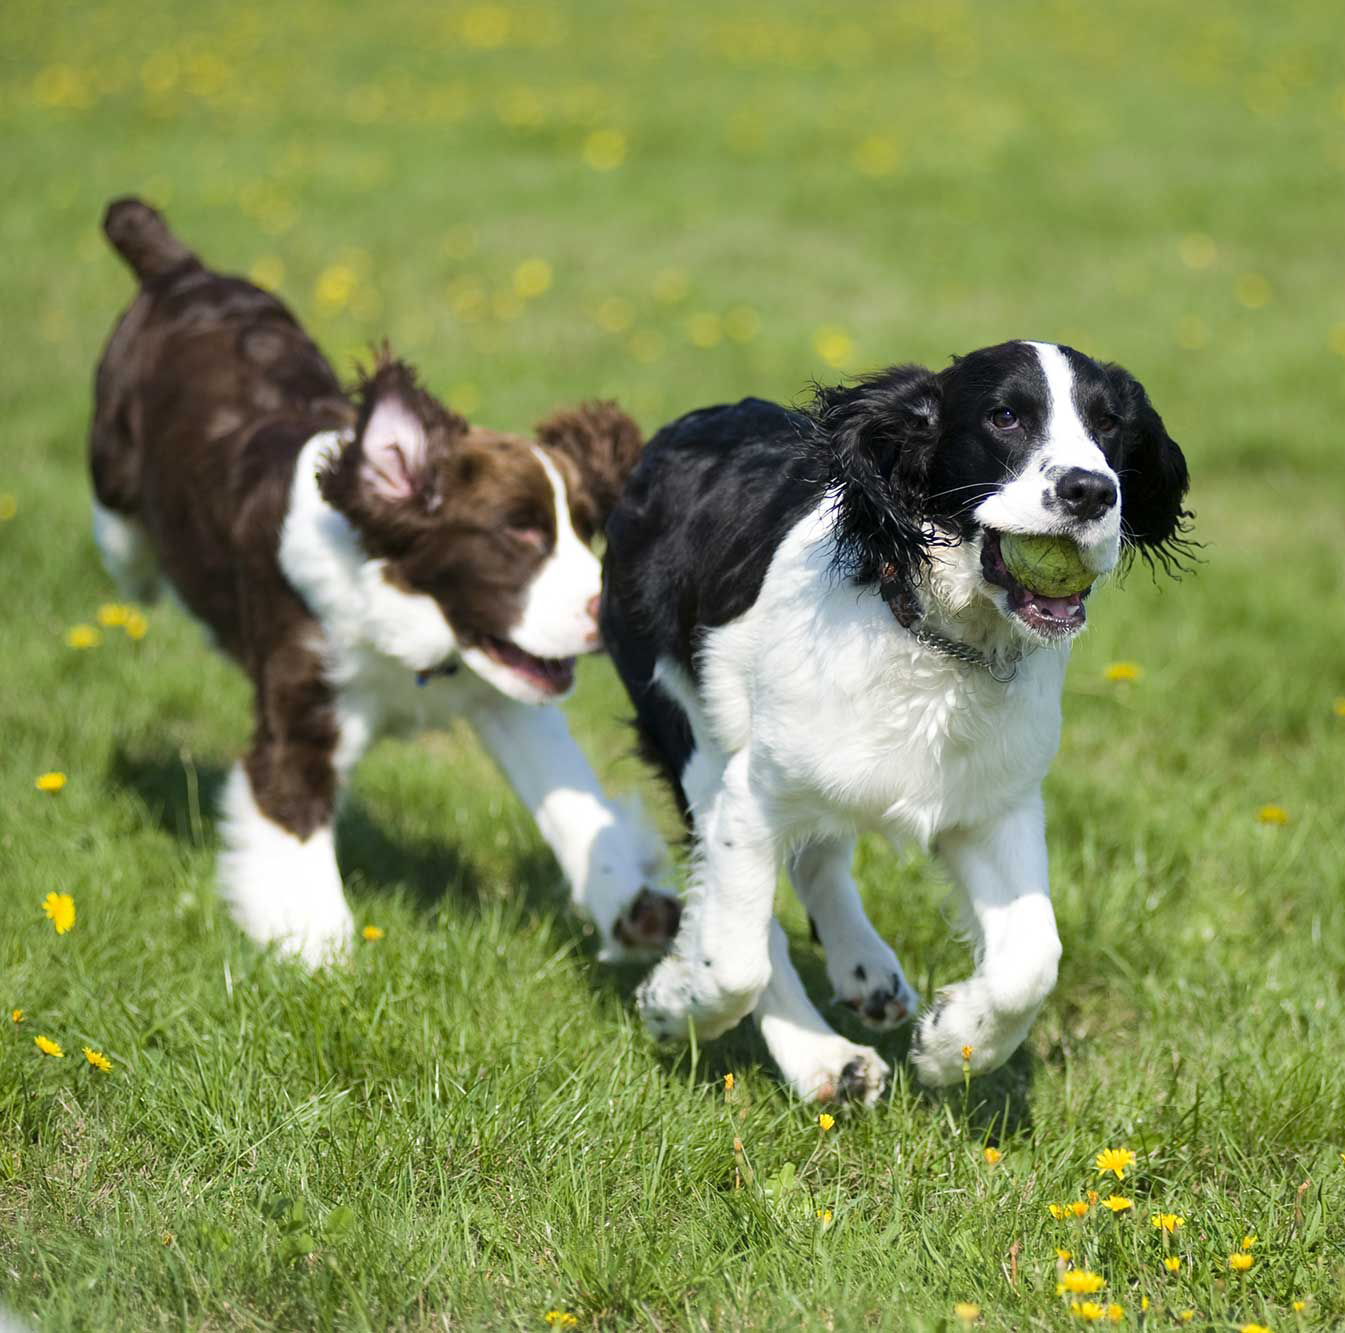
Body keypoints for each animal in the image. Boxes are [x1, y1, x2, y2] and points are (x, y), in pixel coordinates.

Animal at [602, 341, 1188, 1102]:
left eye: (1109, 422)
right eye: (1004, 416)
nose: (1089, 491)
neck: (929, 634)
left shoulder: (992, 806)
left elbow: (1031, 961)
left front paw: (950, 1045)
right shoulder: (752, 796)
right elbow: (735, 960)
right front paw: (671, 1005)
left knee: (820, 854)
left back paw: (866, 971)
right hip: (688, 727)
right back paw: (824, 1058)